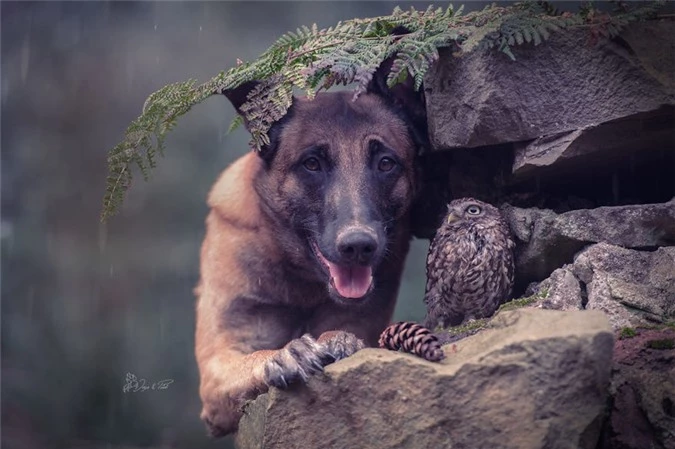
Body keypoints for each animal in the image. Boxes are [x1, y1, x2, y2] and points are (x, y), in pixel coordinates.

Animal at [195, 63, 428, 434]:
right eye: (312, 164)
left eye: (386, 163)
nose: (358, 246)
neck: (301, 280)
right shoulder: (218, 368)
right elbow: (251, 358)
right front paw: (283, 355)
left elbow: (344, 331)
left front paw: (338, 340)